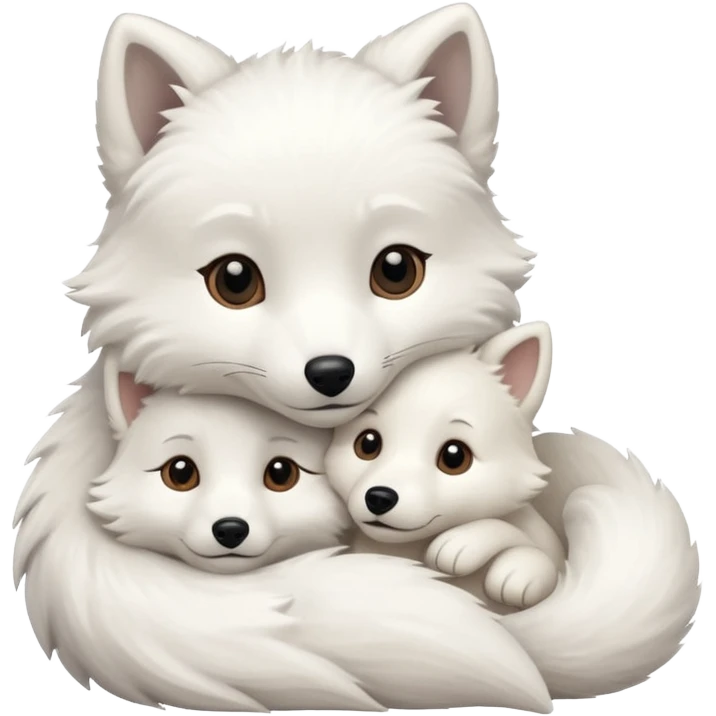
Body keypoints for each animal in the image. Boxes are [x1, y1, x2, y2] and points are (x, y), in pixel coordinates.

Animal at [326, 320, 703, 699]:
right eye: (367, 444)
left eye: (454, 457)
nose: (379, 497)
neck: (410, 551)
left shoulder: (543, 548)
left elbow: (516, 538)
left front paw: (474, 551)